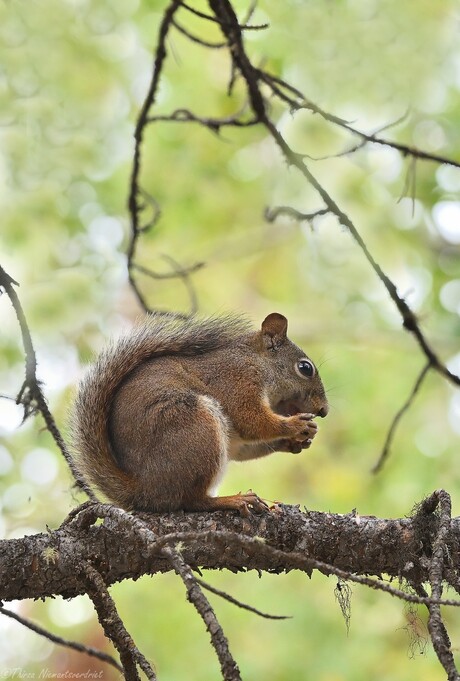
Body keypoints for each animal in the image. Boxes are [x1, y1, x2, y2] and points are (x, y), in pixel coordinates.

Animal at [70, 311, 328, 516]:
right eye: (305, 368)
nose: (324, 411)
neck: (258, 362)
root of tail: (145, 490)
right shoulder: (236, 380)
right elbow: (250, 420)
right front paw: (295, 426)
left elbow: (242, 447)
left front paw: (296, 441)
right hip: (195, 427)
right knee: (192, 500)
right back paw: (234, 500)